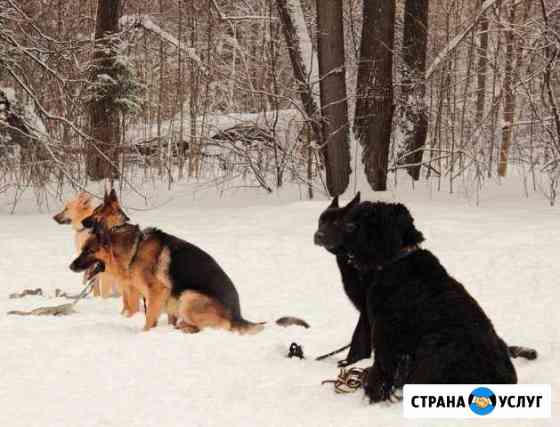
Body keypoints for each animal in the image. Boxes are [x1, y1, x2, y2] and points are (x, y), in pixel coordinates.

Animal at [70, 222, 266, 336]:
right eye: (82, 250)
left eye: (88, 251)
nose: (70, 266)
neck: (134, 250)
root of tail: (237, 316)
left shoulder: (157, 291)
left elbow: (149, 319)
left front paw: (145, 335)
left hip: (189, 296)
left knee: (212, 327)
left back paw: (185, 327)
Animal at [316, 197, 540, 402]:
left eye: (359, 223)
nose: (322, 236)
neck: (396, 259)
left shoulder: (384, 332)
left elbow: (380, 367)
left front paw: (373, 392)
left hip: (434, 345)